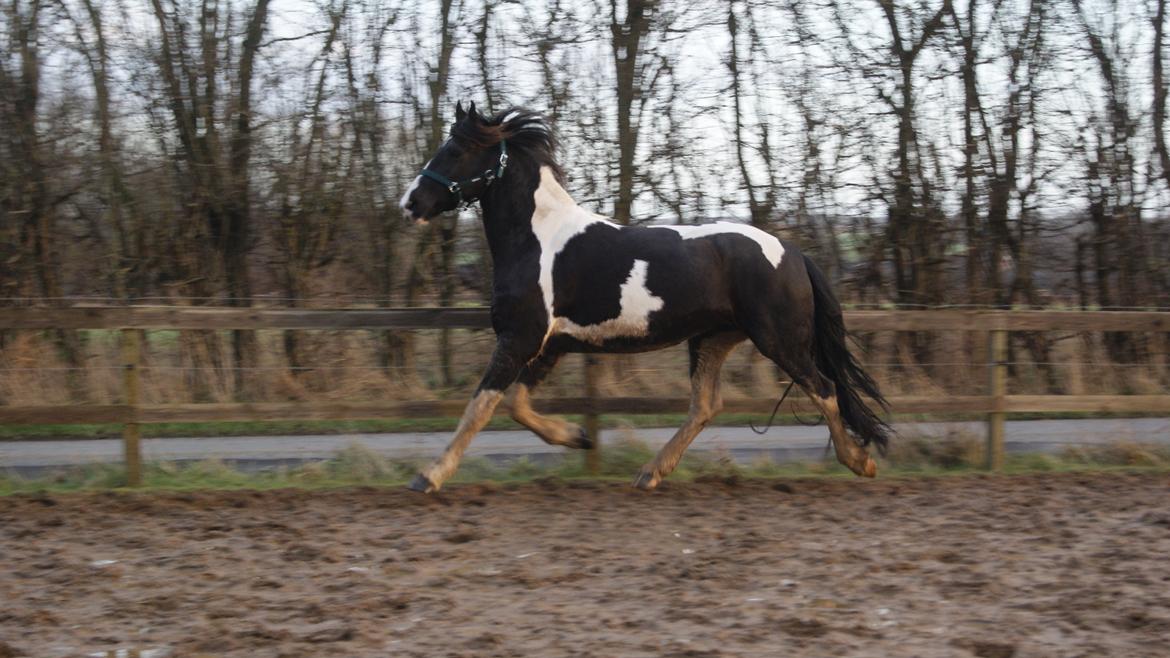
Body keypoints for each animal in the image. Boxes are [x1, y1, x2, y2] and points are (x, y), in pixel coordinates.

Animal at [397, 101, 889, 491]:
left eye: (456, 149)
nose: (411, 203)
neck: (538, 240)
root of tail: (792, 252)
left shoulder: (520, 337)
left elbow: (480, 406)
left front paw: (429, 476)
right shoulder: (549, 344)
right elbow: (517, 405)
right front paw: (578, 437)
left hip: (778, 339)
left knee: (824, 388)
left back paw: (859, 462)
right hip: (712, 339)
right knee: (706, 405)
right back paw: (650, 473)